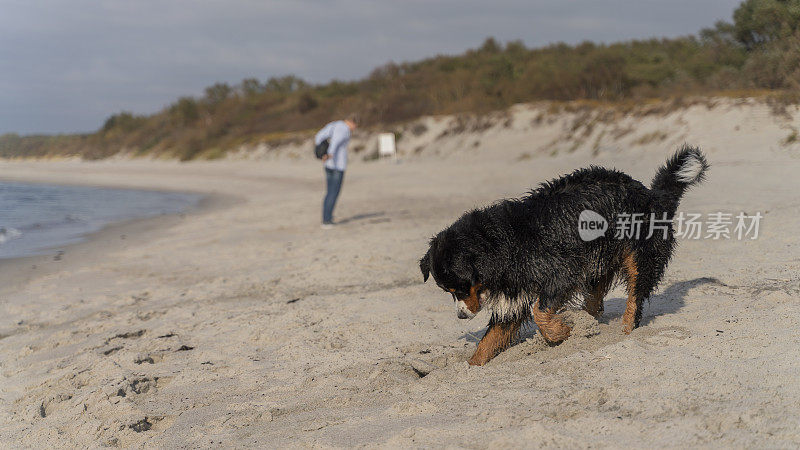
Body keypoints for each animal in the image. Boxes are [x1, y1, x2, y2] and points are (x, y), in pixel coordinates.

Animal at [418, 148, 708, 366]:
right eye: (448, 291)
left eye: (460, 288)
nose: (460, 316)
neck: (505, 244)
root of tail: (650, 194)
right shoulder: (513, 296)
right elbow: (489, 341)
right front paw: (469, 368)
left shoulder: (560, 273)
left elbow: (540, 313)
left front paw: (562, 331)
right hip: (597, 263)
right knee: (595, 300)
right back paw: (590, 322)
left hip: (638, 255)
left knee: (635, 297)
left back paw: (623, 329)